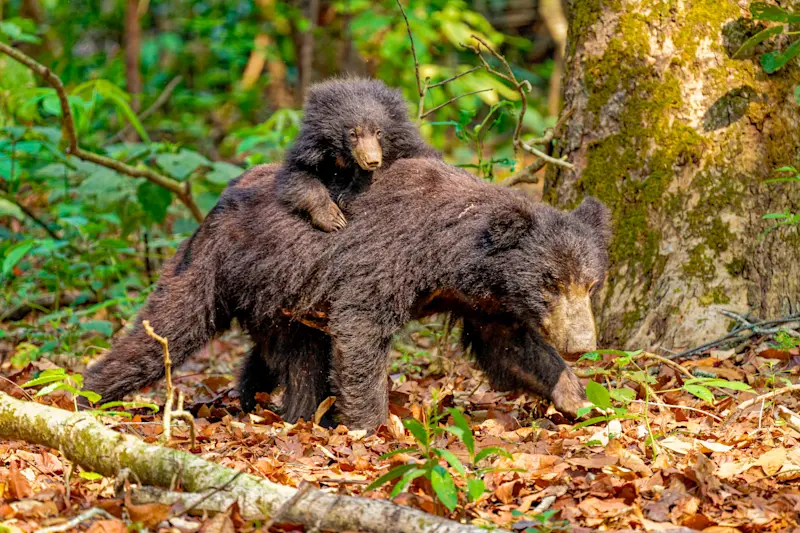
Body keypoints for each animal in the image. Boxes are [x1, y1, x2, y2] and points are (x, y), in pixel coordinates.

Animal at [83, 158, 611, 431]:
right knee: (168, 328)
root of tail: (215, 207)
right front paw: (373, 427)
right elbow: (361, 327)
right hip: (217, 267)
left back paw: (270, 405)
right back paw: (88, 391)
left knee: (286, 359)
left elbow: (509, 347)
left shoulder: (484, 303)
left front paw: (578, 397)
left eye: (589, 283)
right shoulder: (385, 258)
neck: (453, 259)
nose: (582, 344)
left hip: (282, 300)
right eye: (550, 283)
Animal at [276, 77, 439, 232]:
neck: (344, 157)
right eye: (353, 134)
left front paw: (347, 197)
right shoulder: (313, 148)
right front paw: (334, 220)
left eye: (378, 132)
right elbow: (298, 175)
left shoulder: (405, 143)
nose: (373, 160)